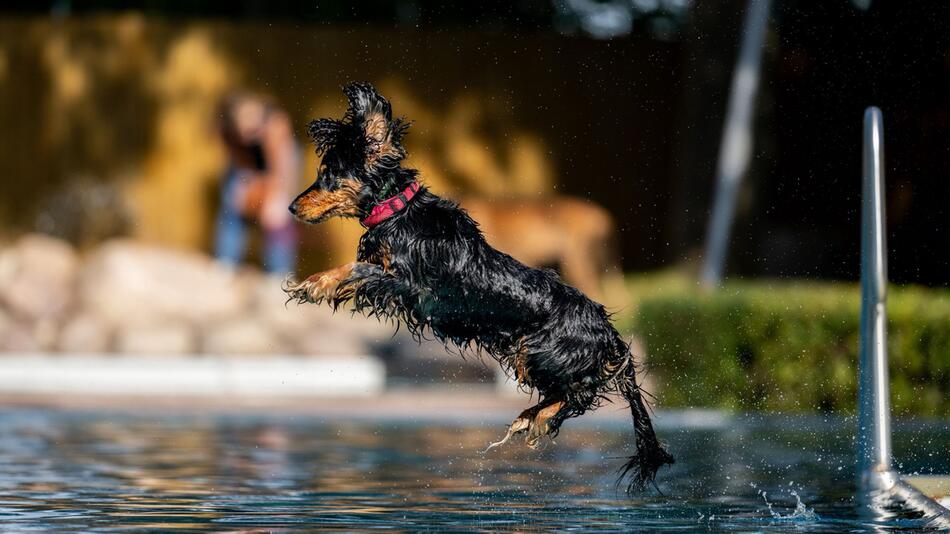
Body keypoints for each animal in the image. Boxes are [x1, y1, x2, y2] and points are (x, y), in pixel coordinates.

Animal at [284, 82, 676, 494]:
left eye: (329, 174)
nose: (291, 208)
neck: (400, 212)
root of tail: (607, 332)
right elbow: (360, 267)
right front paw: (319, 284)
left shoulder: (410, 286)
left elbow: (357, 268)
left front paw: (313, 284)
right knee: (572, 392)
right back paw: (530, 416)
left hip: (538, 351)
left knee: (580, 392)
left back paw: (536, 419)